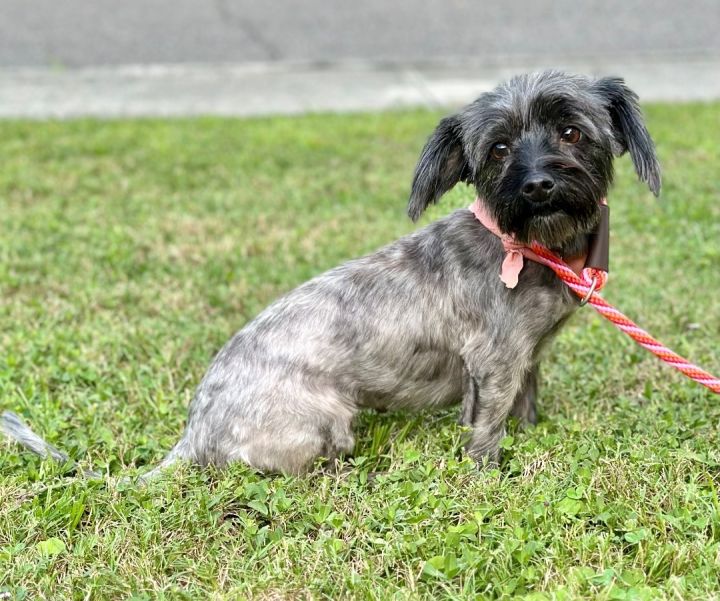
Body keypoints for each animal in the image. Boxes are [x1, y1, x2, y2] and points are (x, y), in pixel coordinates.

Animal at [2, 70, 660, 478]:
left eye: (572, 131)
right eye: (497, 149)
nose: (537, 185)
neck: (526, 245)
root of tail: (194, 433)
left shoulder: (525, 359)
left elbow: (523, 407)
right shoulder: (494, 365)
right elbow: (484, 433)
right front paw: (488, 476)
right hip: (325, 422)